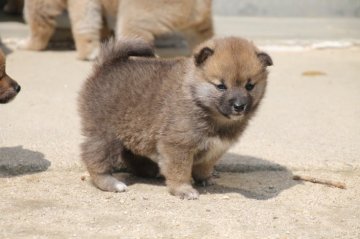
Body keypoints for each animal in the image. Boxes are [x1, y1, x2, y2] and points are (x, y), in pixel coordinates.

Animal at [77, 36, 272, 199]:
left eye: (249, 86)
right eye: (221, 86)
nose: (239, 106)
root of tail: (106, 65)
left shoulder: (216, 147)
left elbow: (204, 165)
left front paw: (205, 178)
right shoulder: (178, 145)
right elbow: (180, 170)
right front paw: (183, 189)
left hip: (132, 131)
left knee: (131, 155)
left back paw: (150, 170)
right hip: (106, 134)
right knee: (94, 158)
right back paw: (110, 183)